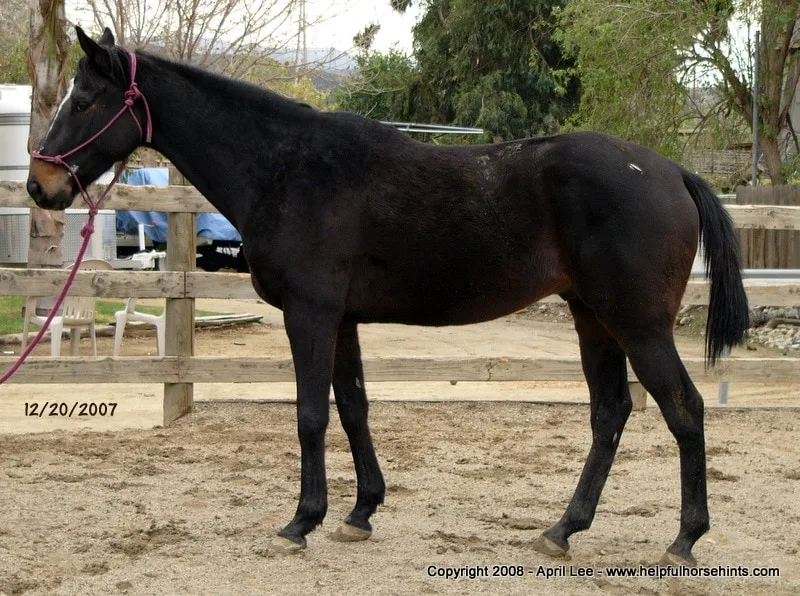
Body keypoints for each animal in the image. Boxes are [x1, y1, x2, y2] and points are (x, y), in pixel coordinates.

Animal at [26, 28, 752, 568]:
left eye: (86, 100)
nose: (39, 185)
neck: (287, 167)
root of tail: (670, 171)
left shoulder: (310, 315)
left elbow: (310, 416)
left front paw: (302, 521)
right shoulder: (341, 319)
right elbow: (353, 409)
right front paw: (360, 511)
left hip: (638, 325)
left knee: (684, 410)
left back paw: (684, 540)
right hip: (593, 319)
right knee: (610, 414)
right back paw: (562, 530)